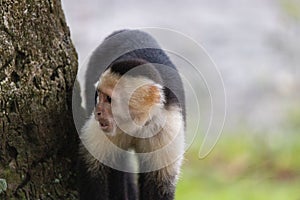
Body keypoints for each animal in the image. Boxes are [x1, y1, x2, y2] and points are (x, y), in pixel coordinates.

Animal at [77, 29, 185, 200]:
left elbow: (159, 182)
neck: (138, 123)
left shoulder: (168, 127)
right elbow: (93, 169)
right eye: (99, 95)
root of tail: (127, 30)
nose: (98, 111)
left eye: (109, 99)